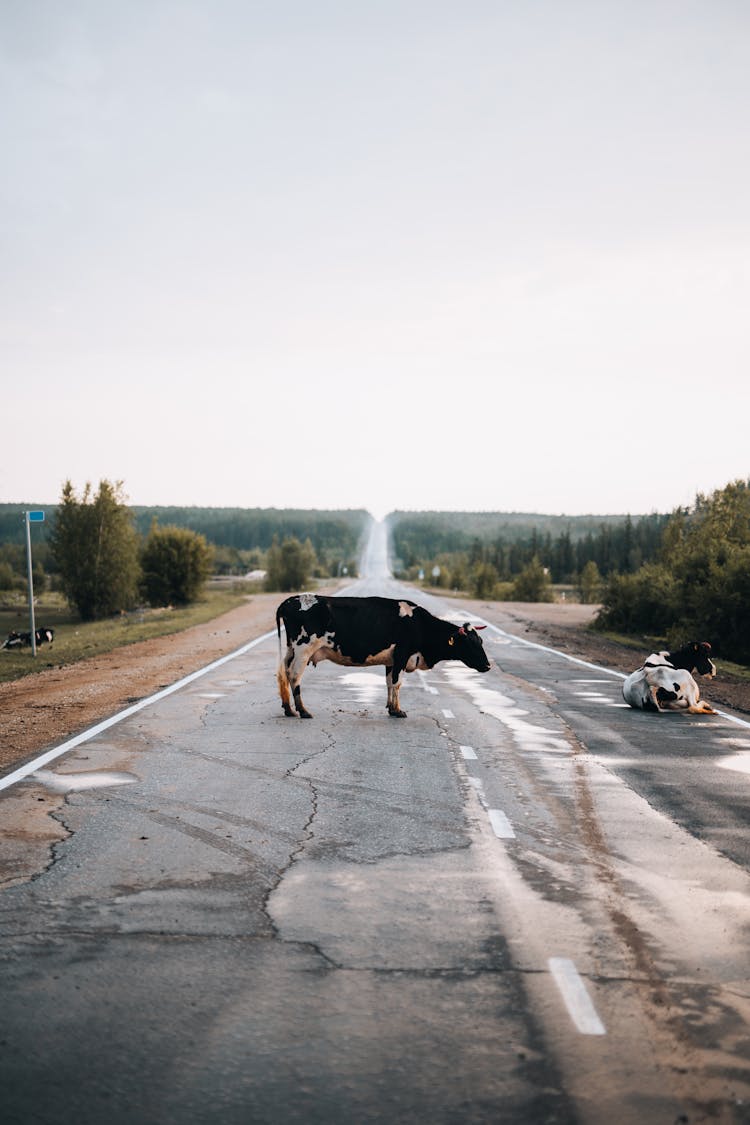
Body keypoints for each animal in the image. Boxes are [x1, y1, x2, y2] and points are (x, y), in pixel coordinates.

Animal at [275, 594, 492, 715]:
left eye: (480, 641)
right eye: (471, 643)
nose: (488, 665)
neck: (420, 625)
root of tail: (290, 600)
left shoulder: (392, 660)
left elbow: (389, 682)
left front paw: (391, 707)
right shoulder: (402, 656)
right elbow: (397, 683)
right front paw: (397, 710)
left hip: (291, 650)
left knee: (283, 673)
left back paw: (288, 709)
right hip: (303, 649)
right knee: (294, 676)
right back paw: (302, 710)